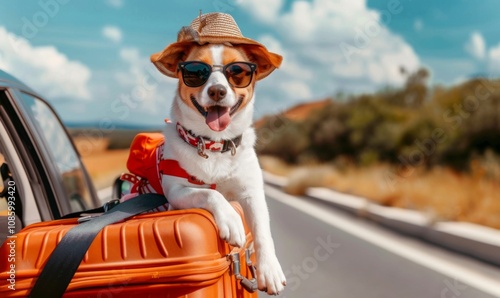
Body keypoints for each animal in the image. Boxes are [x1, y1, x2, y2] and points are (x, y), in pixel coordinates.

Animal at [149, 12, 286, 294]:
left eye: (238, 71)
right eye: (195, 71)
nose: (217, 91)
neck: (214, 146)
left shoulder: (251, 191)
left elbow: (263, 230)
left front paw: (269, 269)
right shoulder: (177, 191)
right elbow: (210, 194)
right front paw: (231, 219)